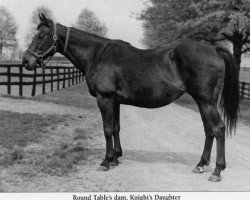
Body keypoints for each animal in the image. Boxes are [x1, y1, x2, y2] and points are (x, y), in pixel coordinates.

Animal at [22, 13, 239, 182]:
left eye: (41, 36)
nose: (26, 61)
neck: (98, 55)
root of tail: (214, 49)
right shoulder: (115, 101)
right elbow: (116, 128)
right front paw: (116, 158)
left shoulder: (105, 99)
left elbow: (107, 130)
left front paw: (105, 161)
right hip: (202, 101)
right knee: (209, 130)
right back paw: (201, 165)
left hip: (206, 101)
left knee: (218, 129)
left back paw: (217, 171)